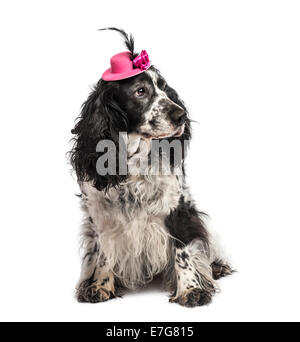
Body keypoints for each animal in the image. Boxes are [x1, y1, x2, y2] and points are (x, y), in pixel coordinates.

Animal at [69, 27, 232, 308]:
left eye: (164, 88)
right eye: (140, 91)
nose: (181, 115)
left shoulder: (177, 206)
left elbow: (182, 251)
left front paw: (191, 289)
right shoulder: (99, 215)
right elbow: (103, 253)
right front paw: (100, 286)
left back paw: (217, 267)